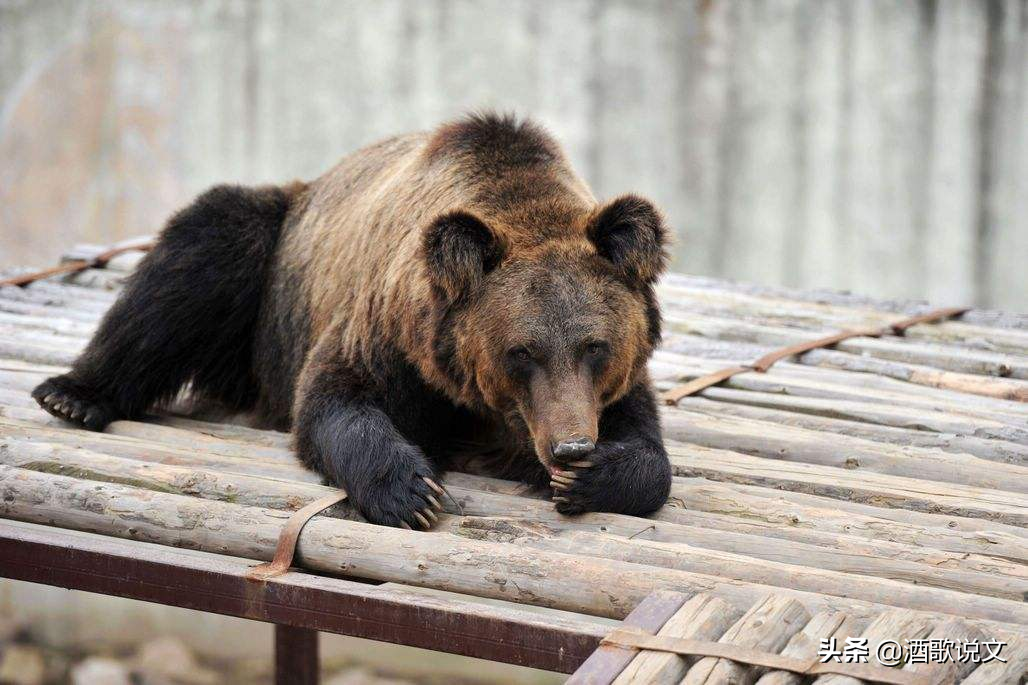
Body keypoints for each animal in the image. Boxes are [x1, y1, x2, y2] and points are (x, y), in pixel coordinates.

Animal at [30, 113, 674, 526]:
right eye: (522, 351)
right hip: (271, 269)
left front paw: (592, 476)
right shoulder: (391, 336)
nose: (570, 446)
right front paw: (411, 491)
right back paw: (74, 394)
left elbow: (648, 451)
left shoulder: (614, 382)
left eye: (594, 347)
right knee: (200, 249)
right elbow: (335, 400)